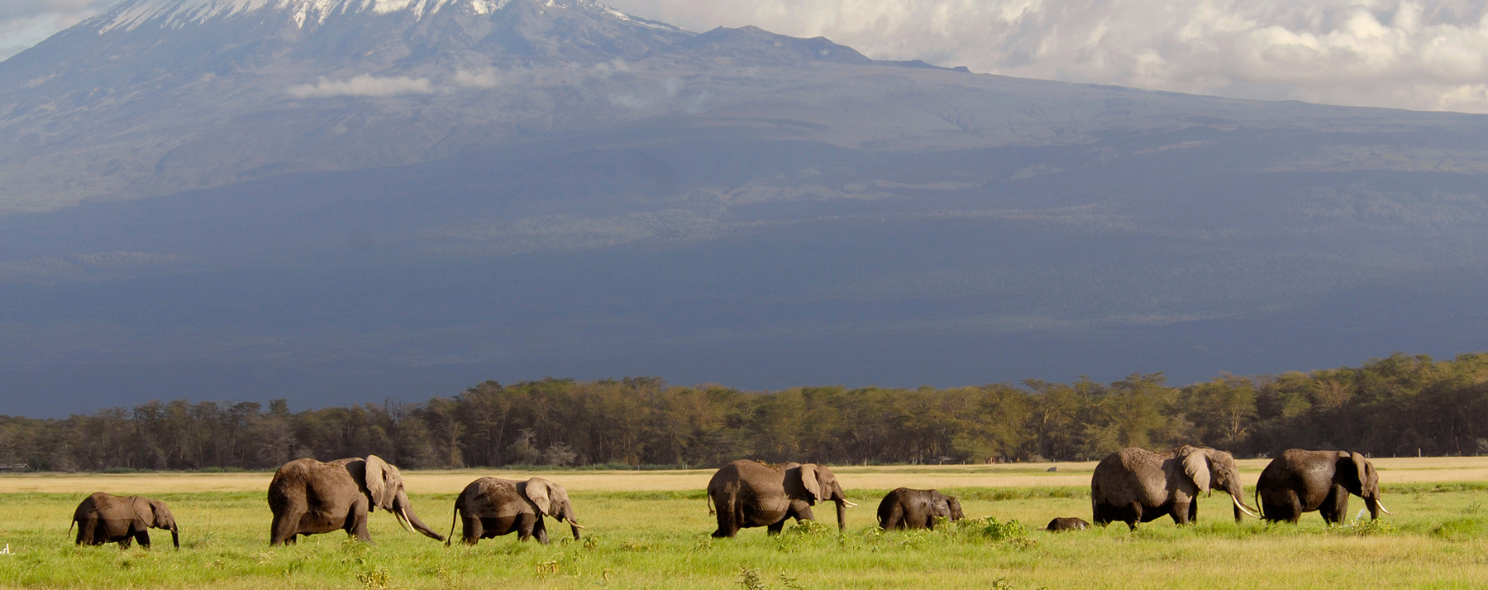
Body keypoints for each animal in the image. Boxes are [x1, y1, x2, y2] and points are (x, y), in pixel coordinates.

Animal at [267, 455, 445, 545]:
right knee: (281, 529)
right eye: (400, 486)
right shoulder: (360, 495)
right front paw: (372, 547)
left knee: (290, 537)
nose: (444, 540)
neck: (376, 464)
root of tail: (274, 478)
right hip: (291, 498)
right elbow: (357, 527)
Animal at [445, 476, 584, 545]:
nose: (577, 544)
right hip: (472, 511)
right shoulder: (528, 507)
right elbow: (526, 531)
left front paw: (546, 545)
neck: (544, 481)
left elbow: (539, 531)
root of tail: (459, 497)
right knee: (472, 537)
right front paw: (521, 546)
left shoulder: (535, 508)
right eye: (563, 502)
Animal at [706, 460, 857, 538]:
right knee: (732, 525)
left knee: (722, 526)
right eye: (831, 483)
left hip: (723, 497)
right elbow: (806, 518)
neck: (808, 466)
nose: (841, 537)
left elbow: (776, 524)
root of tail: (711, 484)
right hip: (729, 495)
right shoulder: (796, 495)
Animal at [1091, 445, 1260, 530]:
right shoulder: (1181, 479)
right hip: (1116, 488)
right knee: (1135, 512)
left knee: (1102, 520)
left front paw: (1191, 527)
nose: (1239, 526)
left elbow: (1193, 507)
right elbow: (1180, 507)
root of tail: (1095, 473)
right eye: (1226, 473)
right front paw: (1184, 529)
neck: (1204, 450)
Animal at [1255, 449, 1392, 524]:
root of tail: (1262, 477)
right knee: (1294, 513)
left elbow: (1327, 511)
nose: (1375, 524)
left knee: (1271, 518)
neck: (1352, 459)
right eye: (1376, 480)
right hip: (1284, 488)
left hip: (1269, 492)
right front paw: (1339, 527)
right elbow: (1339, 508)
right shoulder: (1340, 481)